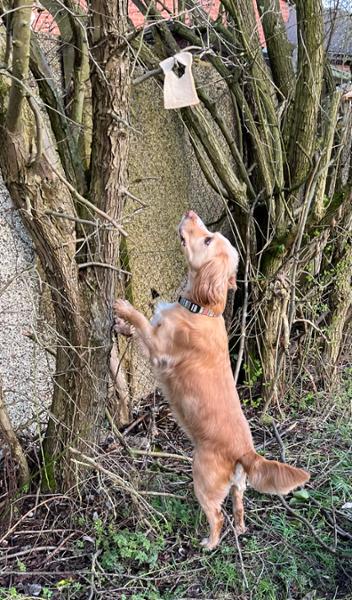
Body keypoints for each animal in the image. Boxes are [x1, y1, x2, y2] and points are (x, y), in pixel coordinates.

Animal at [114, 210, 310, 548]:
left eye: (206, 240)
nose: (191, 213)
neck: (201, 309)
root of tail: (246, 452)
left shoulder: (160, 349)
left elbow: (141, 320)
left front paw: (124, 308)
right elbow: (138, 326)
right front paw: (120, 325)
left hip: (202, 480)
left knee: (217, 516)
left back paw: (209, 543)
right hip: (238, 486)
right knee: (239, 506)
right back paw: (241, 529)